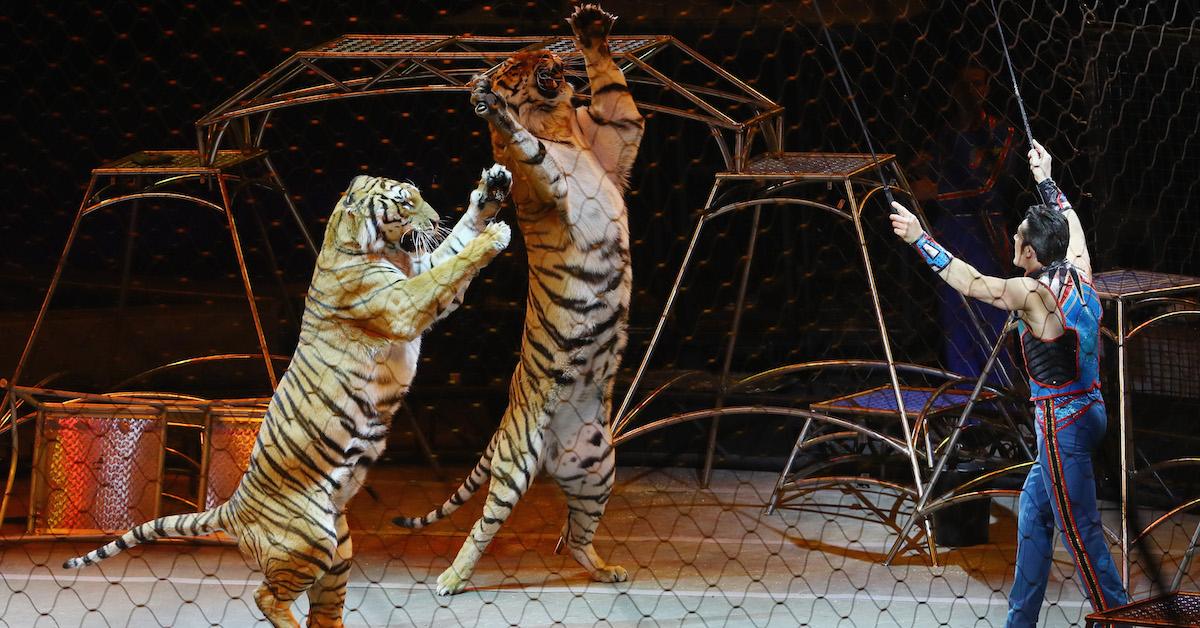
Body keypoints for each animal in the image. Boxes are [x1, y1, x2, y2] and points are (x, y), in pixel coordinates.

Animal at [64, 168, 516, 628]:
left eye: (419, 195)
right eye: (406, 202)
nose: (434, 219)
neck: (370, 245)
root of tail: (232, 508)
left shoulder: (418, 271)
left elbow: (454, 246)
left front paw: (490, 191)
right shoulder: (404, 301)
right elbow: (452, 264)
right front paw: (495, 234)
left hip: (338, 548)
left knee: (322, 611)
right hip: (311, 540)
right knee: (265, 596)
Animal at [393, 2, 643, 597]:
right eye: (514, 61)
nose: (545, 55)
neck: (557, 120)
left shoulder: (618, 136)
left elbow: (616, 91)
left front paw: (590, 29)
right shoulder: (550, 187)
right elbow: (534, 154)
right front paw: (496, 105)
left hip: (598, 466)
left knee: (576, 539)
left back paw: (607, 569)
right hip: (518, 462)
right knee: (484, 526)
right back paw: (450, 578)